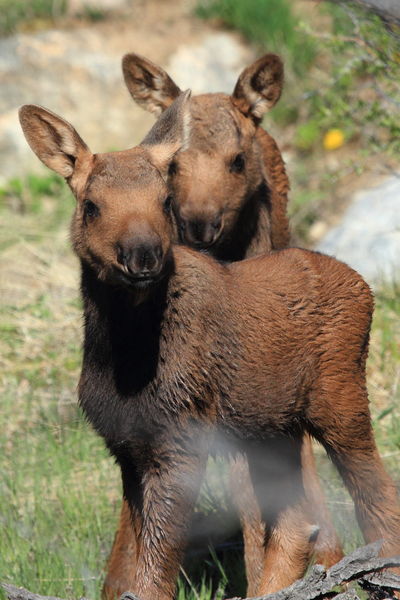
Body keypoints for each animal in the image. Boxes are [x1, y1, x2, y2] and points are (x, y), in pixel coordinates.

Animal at [18, 91, 400, 600]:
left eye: (164, 200)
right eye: (92, 205)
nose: (143, 255)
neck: (124, 358)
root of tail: (364, 285)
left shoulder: (182, 439)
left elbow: (154, 572)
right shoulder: (126, 446)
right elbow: (127, 568)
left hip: (341, 400)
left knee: (376, 498)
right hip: (272, 426)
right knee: (299, 519)